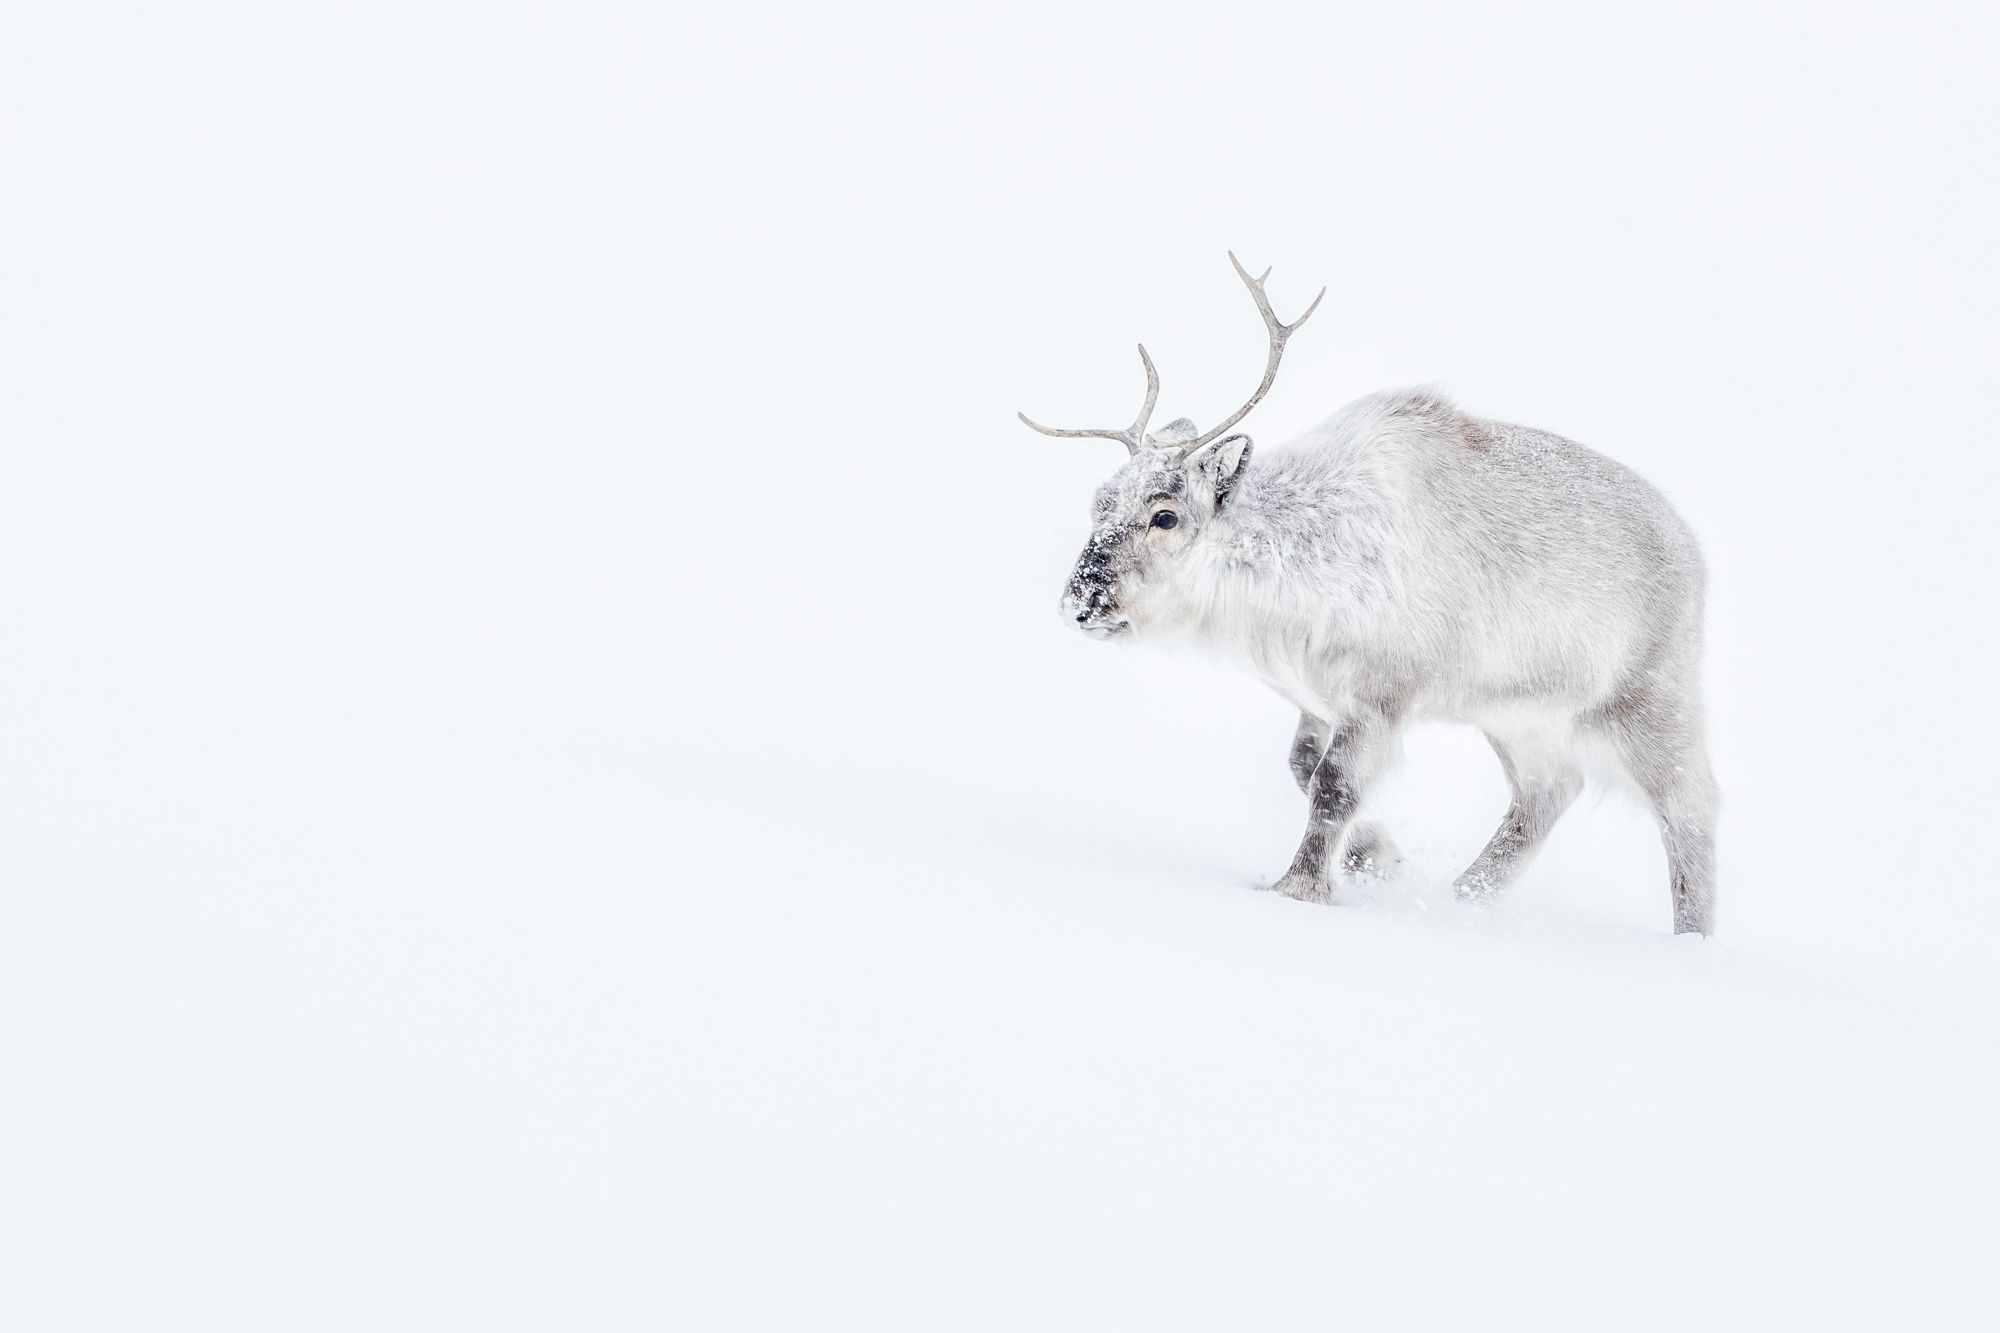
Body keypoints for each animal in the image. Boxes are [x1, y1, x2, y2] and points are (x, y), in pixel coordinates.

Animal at [1020, 255, 1718, 934]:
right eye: (1098, 504)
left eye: (1164, 515)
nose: (1079, 605)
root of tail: (1695, 555)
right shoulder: (1315, 697)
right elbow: (1303, 768)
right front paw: (1378, 858)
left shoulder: (1380, 693)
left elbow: (1334, 785)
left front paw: (1298, 889)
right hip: (1519, 717)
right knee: (1548, 793)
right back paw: (1461, 897)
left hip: (1649, 704)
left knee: (1691, 807)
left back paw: (1692, 938)